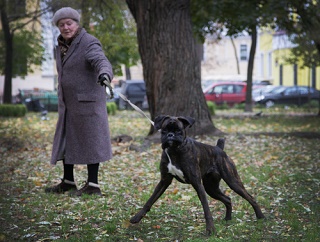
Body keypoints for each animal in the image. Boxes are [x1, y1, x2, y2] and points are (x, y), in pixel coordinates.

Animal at [130, 116, 264, 235]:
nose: (170, 135)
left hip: (232, 181)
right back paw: (227, 219)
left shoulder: (197, 183)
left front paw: (210, 230)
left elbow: (206, 209)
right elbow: (150, 200)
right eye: (164, 130)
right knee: (228, 199)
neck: (174, 150)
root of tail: (219, 148)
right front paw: (137, 217)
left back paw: (261, 216)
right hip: (211, 188)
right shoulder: (164, 180)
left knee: (250, 198)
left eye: (178, 130)